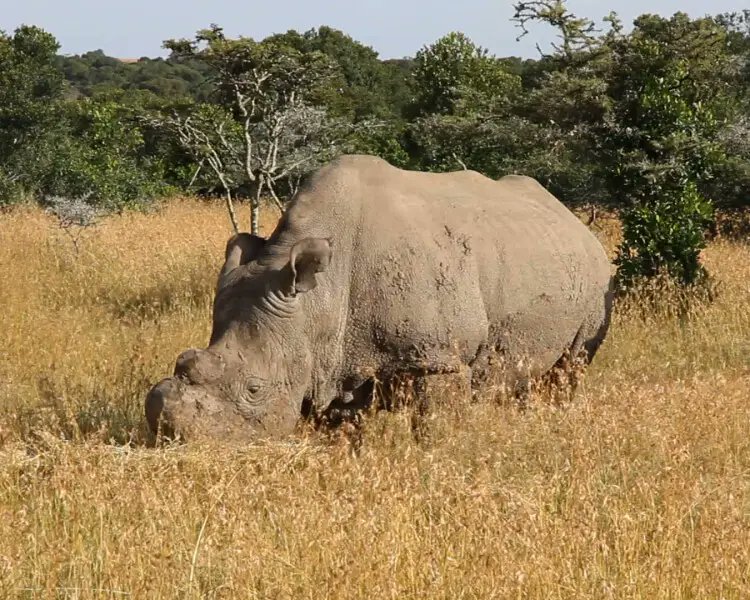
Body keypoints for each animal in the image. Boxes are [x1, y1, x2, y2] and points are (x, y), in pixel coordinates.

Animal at [145, 155, 613, 442]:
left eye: (255, 389)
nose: (172, 438)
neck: (321, 299)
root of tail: (574, 220)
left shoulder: (440, 357)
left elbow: (434, 427)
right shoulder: (333, 357)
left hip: (597, 277)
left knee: (571, 366)